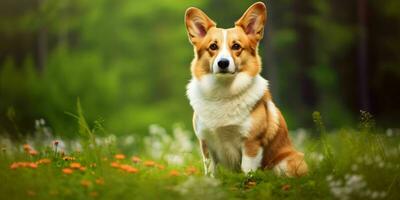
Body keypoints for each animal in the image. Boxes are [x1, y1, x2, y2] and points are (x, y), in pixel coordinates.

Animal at [186, 1, 308, 177]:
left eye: (236, 46)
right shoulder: (206, 144)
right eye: (213, 46)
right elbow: (211, 173)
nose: (223, 63)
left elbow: (247, 171)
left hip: (285, 163)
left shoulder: (251, 143)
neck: (223, 92)